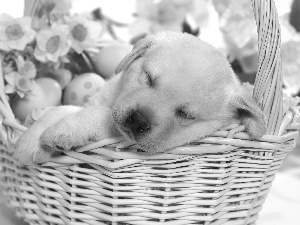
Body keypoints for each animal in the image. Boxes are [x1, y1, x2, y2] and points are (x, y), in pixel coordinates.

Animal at [14, 31, 268, 165]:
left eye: (186, 115)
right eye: (148, 77)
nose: (138, 120)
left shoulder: (116, 129)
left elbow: (100, 116)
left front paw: (63, 132)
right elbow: (61, 109)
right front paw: (30, 141)